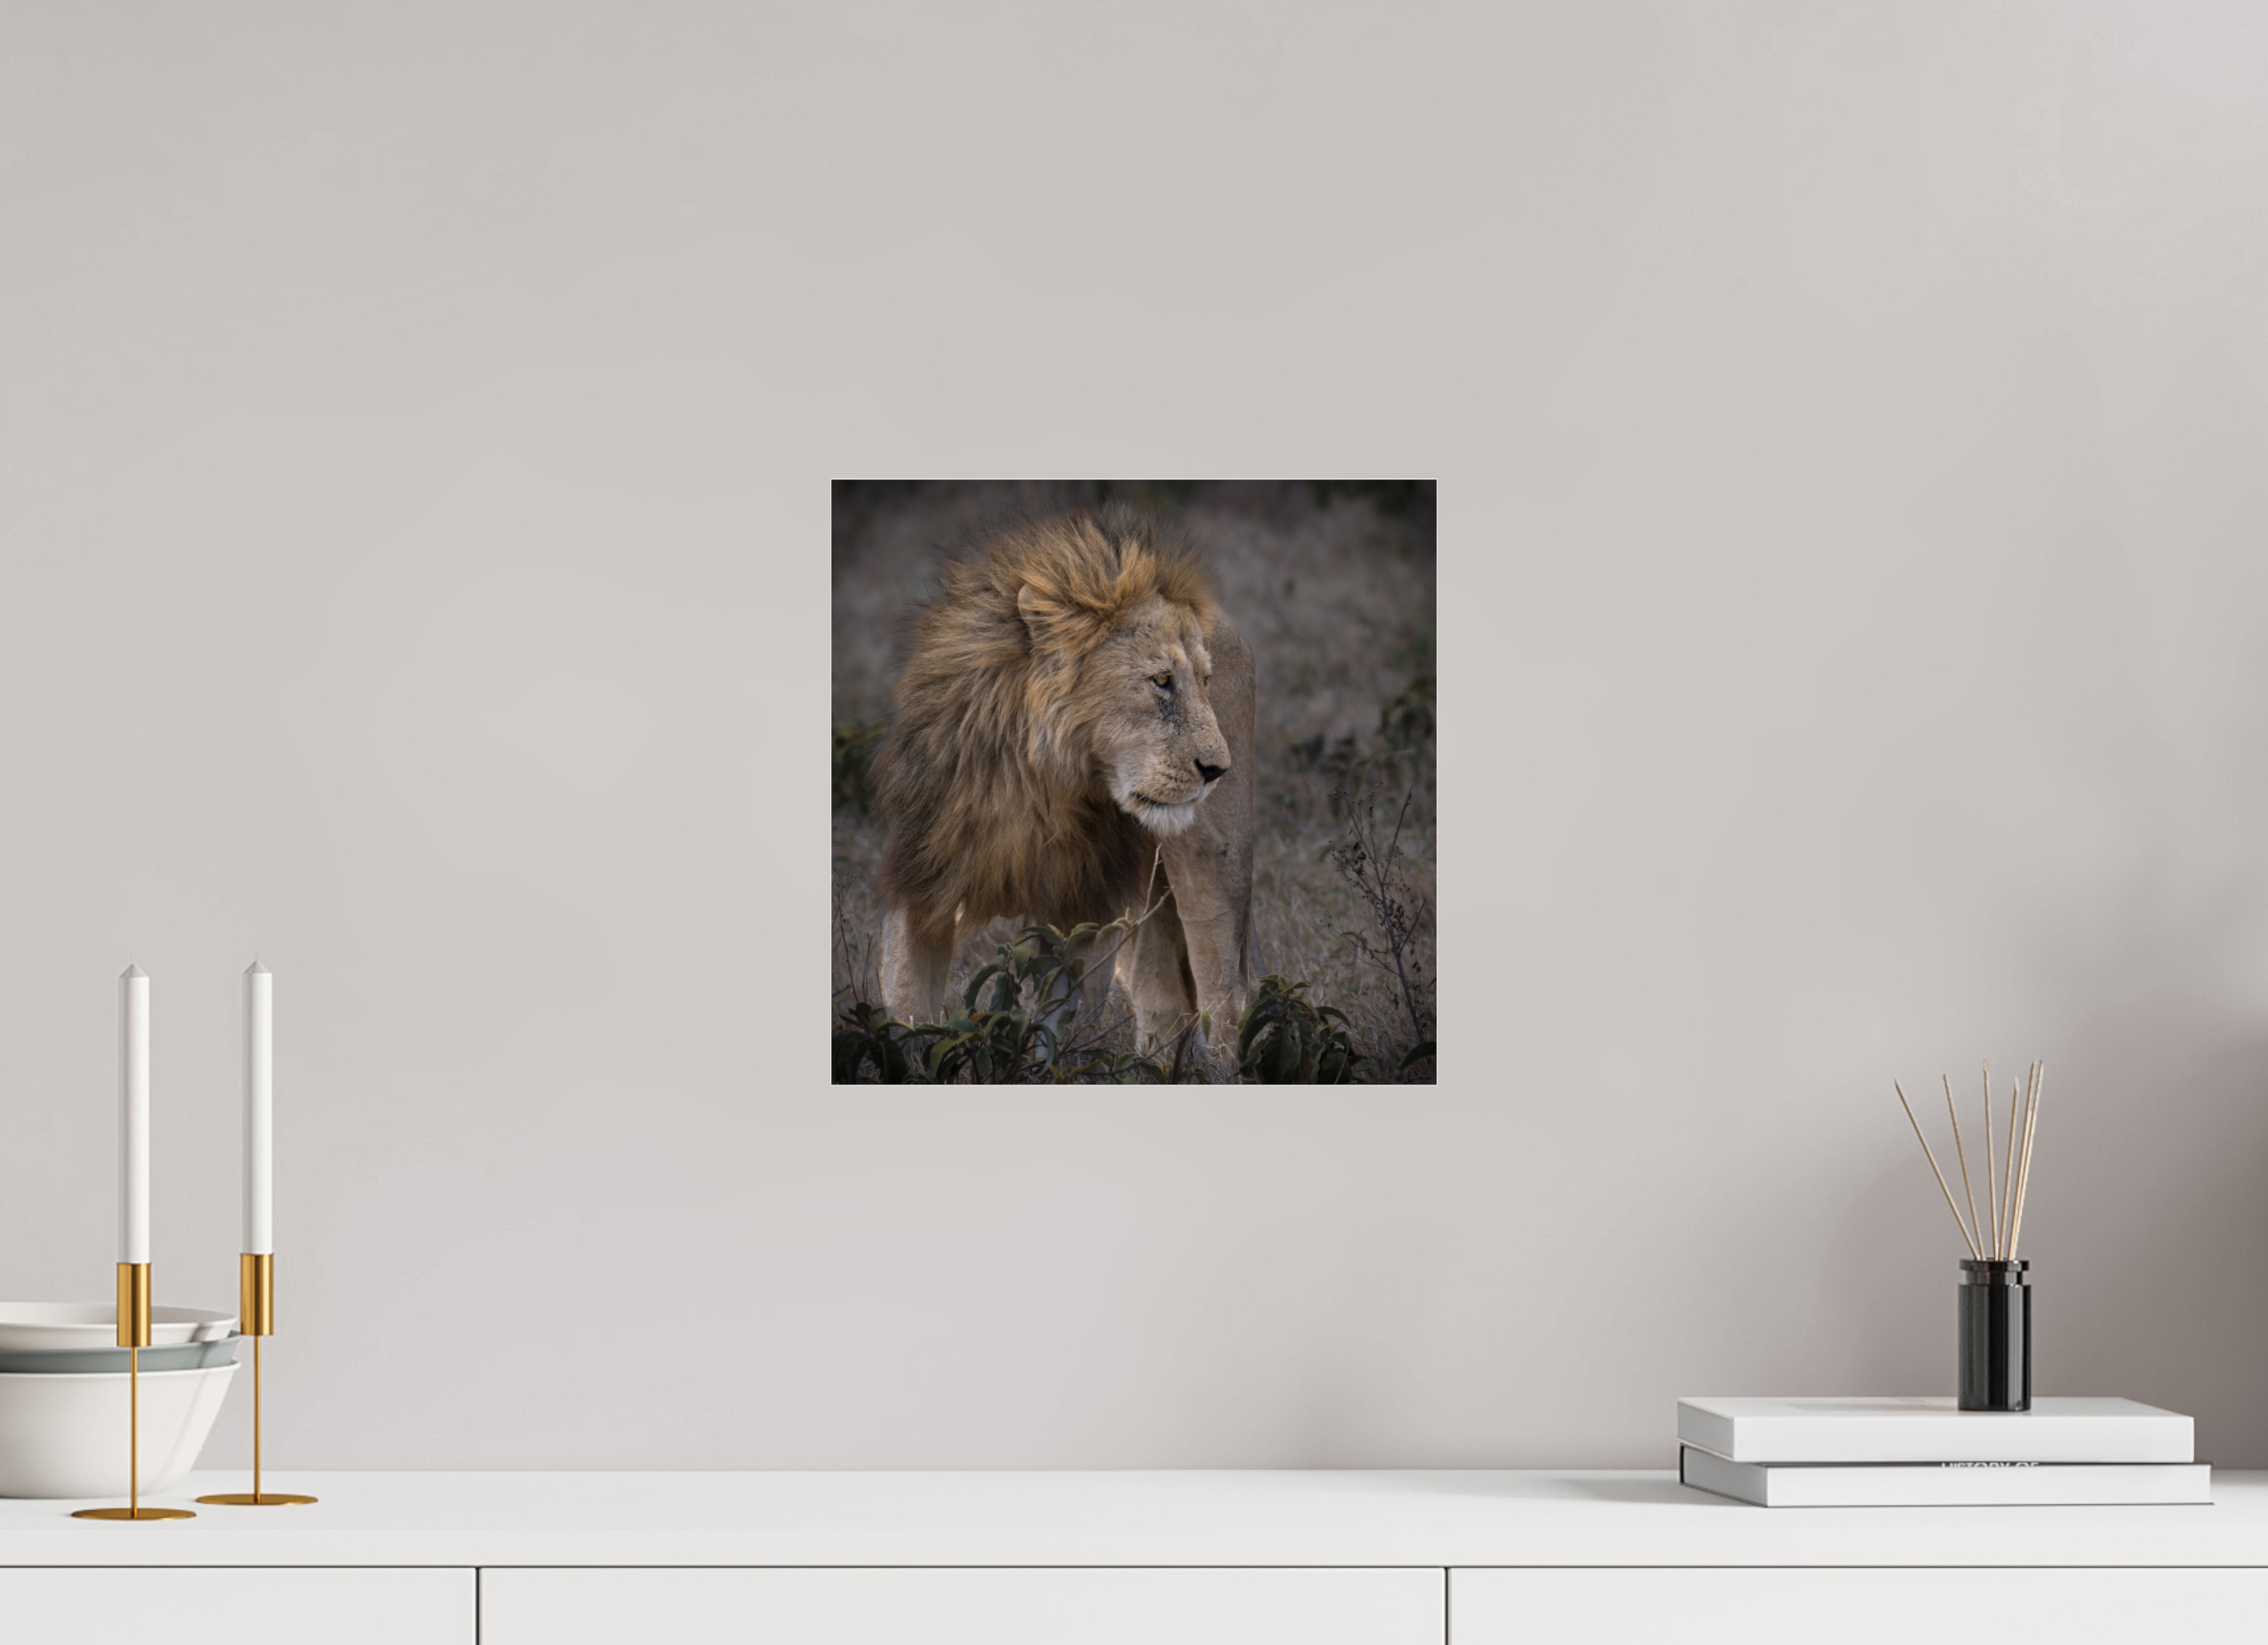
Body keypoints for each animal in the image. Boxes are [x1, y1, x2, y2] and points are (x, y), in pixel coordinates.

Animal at [874, 507, 1256, 1053]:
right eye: (1162, 681)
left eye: (1206, 682)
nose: (1217, 770)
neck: (1033, 785)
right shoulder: (923, 877)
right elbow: (907, 1013)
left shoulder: (1084, 902)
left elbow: (1056, 1026)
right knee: (1164, 998)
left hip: (1214, 861)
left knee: (1222, 993)